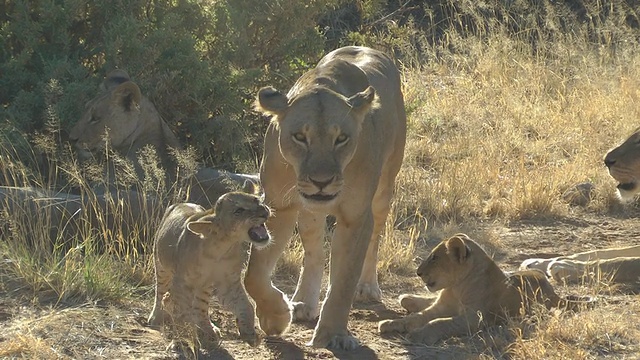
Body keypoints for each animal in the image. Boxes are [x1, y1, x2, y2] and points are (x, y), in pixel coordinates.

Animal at [148, 191, 272, 348]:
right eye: (239, 211)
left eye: (256, 201)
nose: (264, 211)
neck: (221, 248)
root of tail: (181, 203)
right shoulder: (182, 284)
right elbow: (180, 312)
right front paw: (183, 340)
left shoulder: (228, 283)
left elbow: (246, 305)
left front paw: (250, 333)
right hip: (161, 266)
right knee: (161, 292)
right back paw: (156, 317)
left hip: (205, 285)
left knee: (200, 307)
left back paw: (209, 330)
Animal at [378, 235, 592, 344]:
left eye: (434, 258)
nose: (418, 272)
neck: (456, 287)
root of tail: (553, 292)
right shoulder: (441, 306)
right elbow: (418, 317)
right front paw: (390, 323)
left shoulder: (475, 317)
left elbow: (440, 322)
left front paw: (419, 334)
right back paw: (408, 299)